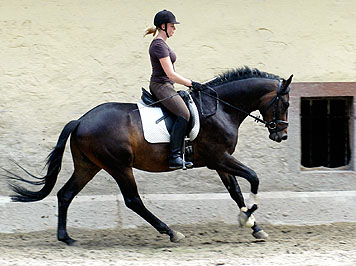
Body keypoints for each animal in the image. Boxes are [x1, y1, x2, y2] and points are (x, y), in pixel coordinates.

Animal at [7, 66, 292, 245]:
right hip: (119, 166)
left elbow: (236, 192)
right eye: (286, 103)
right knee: (133, 200)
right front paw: (246, 217)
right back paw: (172, 233)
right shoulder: (219, 158)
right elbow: (254, 178)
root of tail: (80, 120)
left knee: (66, 194)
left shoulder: (220, 163)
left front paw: (255, 227)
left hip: (88, 166)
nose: (281, 135)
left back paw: (65, 237)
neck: (221, 108)